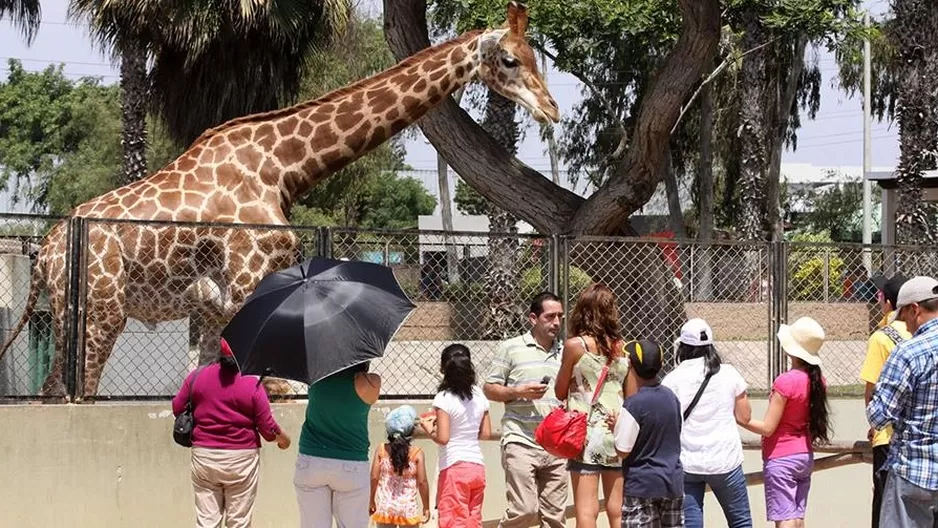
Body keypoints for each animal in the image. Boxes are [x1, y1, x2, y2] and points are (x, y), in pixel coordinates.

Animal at [0, 1, 556, 400]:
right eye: (509, 60)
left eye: (536, 57)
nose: (551, 109)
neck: (283, 166)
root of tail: (45, 250)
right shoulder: (247, 279)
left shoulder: (216, 303)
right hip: (100, 309)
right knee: (75, 392)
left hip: (69, 312)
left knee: (55, 388)